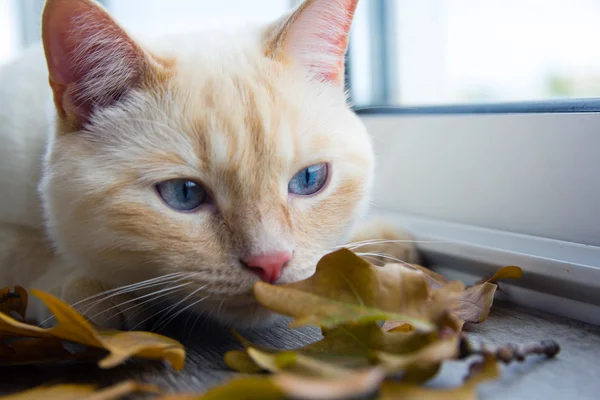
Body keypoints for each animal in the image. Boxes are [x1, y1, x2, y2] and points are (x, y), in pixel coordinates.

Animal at [0, 0, 418, 332]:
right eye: (184, 194)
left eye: (309, 179)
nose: (271, 264)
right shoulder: (14, 230)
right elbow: (31, 251)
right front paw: (89, 290)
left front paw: (377, 250)